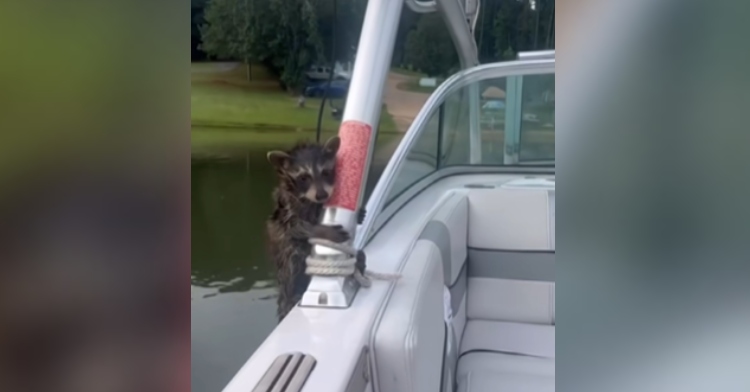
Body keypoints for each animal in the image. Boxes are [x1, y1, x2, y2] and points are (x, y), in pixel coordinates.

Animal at [268, 136, 356, 320]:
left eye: (325, 172)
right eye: (304, 177)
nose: (322, 195)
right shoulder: (287, 207)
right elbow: (294, 226)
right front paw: (320, 230)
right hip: (286, 262)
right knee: (291, 258)